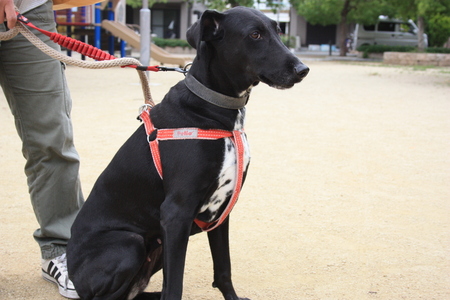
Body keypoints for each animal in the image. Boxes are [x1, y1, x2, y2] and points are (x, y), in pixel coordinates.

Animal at [67, 7, 310, 300]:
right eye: (254, 34)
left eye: (278, 30)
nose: (303, 69)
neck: (213, 109)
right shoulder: (176, 214)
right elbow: (175, 287)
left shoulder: (221, 211)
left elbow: (223, 269)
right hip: (130, 242)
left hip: (156, 245)